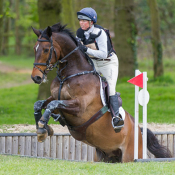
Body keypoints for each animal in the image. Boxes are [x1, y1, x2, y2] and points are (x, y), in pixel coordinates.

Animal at [30, 23, 172, 163]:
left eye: (46, 49)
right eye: (34, 49)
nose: (36, 77)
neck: (68, 75)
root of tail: (139, 131)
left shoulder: (80, 107)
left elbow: (52, 104)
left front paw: (42, 128)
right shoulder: (56, 98)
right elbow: (39, 104)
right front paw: (42, 127)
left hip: (130, 156)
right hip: (103, 156)